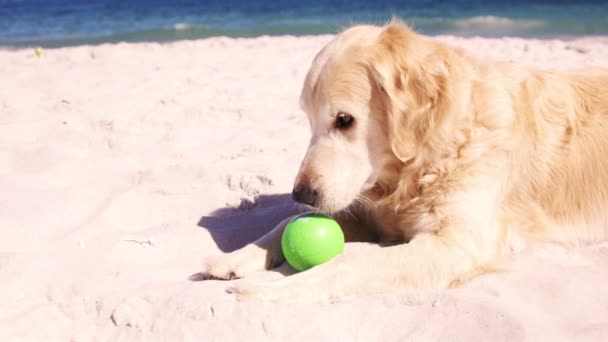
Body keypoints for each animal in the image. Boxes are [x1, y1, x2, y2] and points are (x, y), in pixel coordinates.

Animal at [202, 20, 608, 302]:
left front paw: (275, 290)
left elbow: (352, 260)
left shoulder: (460, 243)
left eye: (344, 120)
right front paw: (236, 257)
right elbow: (289, 220)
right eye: (307, 119)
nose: (302, 193)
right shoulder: (364, 209)